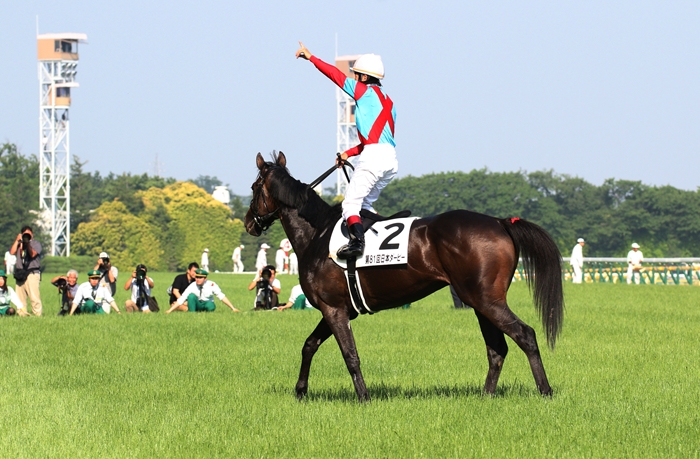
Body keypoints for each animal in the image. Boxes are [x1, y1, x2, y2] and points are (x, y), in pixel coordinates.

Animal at [245, 153, 564, 400]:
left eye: (253, 187)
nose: (249, 223)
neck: (319, 234)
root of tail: (499, 222)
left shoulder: (333, 308)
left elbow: (349, 354)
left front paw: (364, 397)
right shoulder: (338, 308)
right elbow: (309, 345)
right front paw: (300, 391)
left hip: (486, 300)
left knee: (525, 335)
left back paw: (545, 391)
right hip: (481, 303)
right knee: (497, 349)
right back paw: (486, 396)